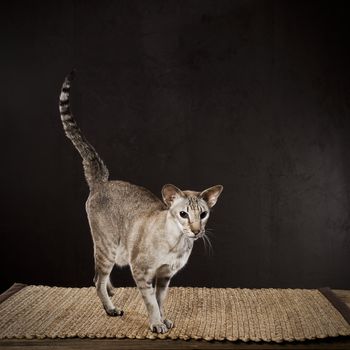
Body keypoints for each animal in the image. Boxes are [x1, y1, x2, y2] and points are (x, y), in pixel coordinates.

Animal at [58, 72, 223, 334]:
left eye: (203, 214)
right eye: (183, 214)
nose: (196, 231)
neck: (178, 244)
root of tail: (101, 182)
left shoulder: (165, 276)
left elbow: (161, 300)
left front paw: (164, 320)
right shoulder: (142, 272)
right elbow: (151, 302)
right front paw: (156, 324)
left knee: (100, 278)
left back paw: (112, 292)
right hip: (107, 246)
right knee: (97, 280)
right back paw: (111, 308)